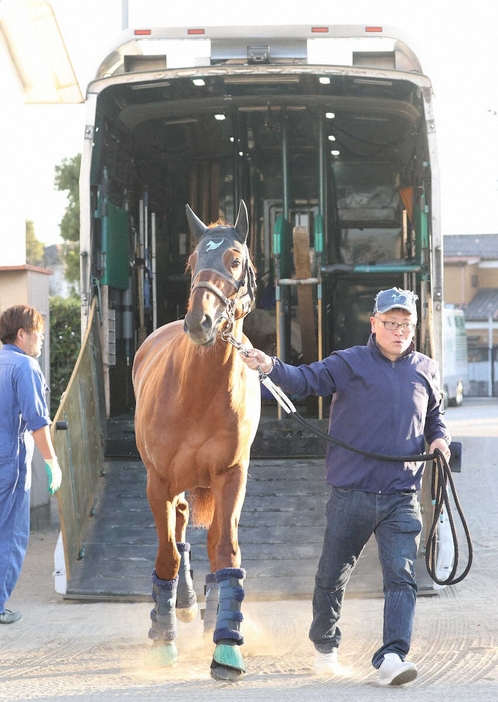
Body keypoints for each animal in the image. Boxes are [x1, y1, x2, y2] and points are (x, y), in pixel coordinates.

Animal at [132, 199, 262, 680]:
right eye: (192, 262)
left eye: (235, 260)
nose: (200, 321)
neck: (199, 392)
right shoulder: (158, 483)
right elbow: (167, 554)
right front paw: (163, 637)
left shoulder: (231, 476)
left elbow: (225, 550)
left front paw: (226, 644)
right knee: (182, 522)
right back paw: (179, 607)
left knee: (209, 535)